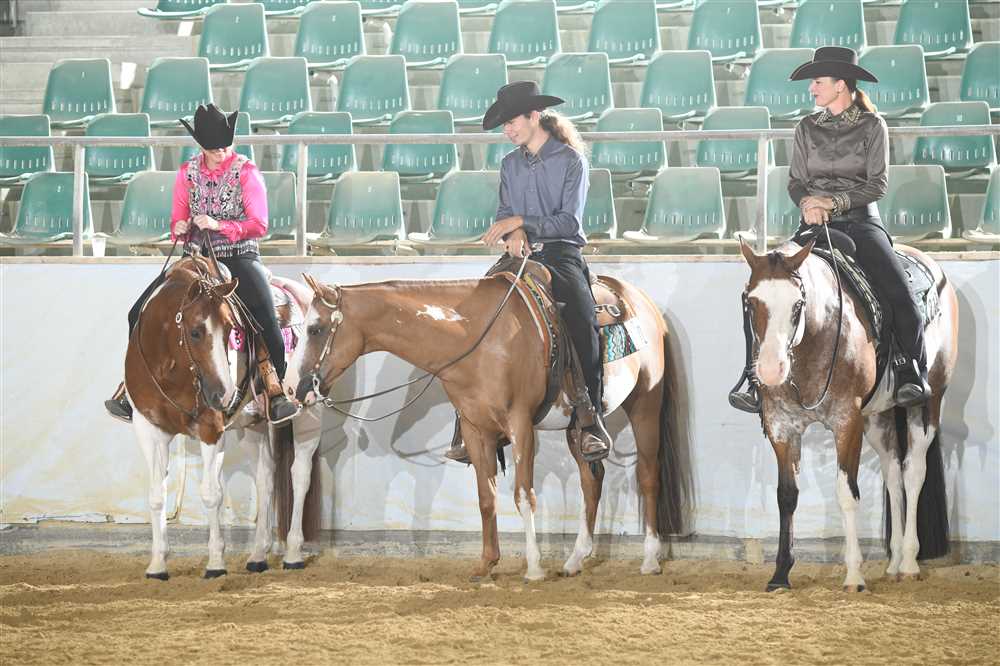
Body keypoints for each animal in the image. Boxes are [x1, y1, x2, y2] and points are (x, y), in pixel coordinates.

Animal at [123, 255, 322, 579]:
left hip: (310, 414)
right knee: (265, 478)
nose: (224, 393)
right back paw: (258, 555)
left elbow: (211, 494)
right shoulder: (148, 428)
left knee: (300, 476)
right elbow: (156, 495)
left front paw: (215, 562)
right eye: (194, 332)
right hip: (254, 424)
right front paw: (157, 564)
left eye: (232, 329)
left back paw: (293, 554)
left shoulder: (210, 429)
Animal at [282, 265, 692, 582]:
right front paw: (486, 564)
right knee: (592, 481)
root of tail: (643, 302)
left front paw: (533, 568)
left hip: (646, 403)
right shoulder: (476, 429)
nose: (294, 388)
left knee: (648, 476)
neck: (477, 337)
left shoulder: (520, 425)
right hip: (578, 425)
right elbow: (486, 496)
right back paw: (576, 559)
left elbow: (524, 495)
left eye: (315, 329)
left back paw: (650, 558)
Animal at [738, 238, 958, 591]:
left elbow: (846, 494)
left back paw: (910, 562)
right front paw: (780, 574)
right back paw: (894, 563)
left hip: (927, 403)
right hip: (878, 417)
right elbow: (786, 496)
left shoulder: (847, 422)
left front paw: (854, 575)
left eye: (798, 305)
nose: (771, 370)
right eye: (751, 302)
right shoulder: (781, 427)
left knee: (913, 473)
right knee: (893, 472)